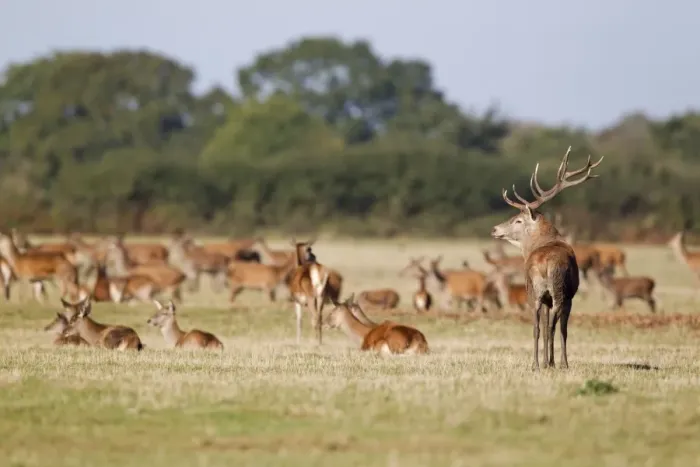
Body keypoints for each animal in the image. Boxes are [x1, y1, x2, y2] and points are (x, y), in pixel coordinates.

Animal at [491, 146, 603, 370]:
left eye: (517, 220)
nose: (495, 229)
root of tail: (544, 264)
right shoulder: (569, 296)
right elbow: (562, 329)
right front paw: (560, 362)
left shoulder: (543, 298)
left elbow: (542, 324)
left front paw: (546, 361)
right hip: (559, 290)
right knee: (553, 326)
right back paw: (556, 363)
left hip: (535, 291)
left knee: (536, 325)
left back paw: (536, 364)